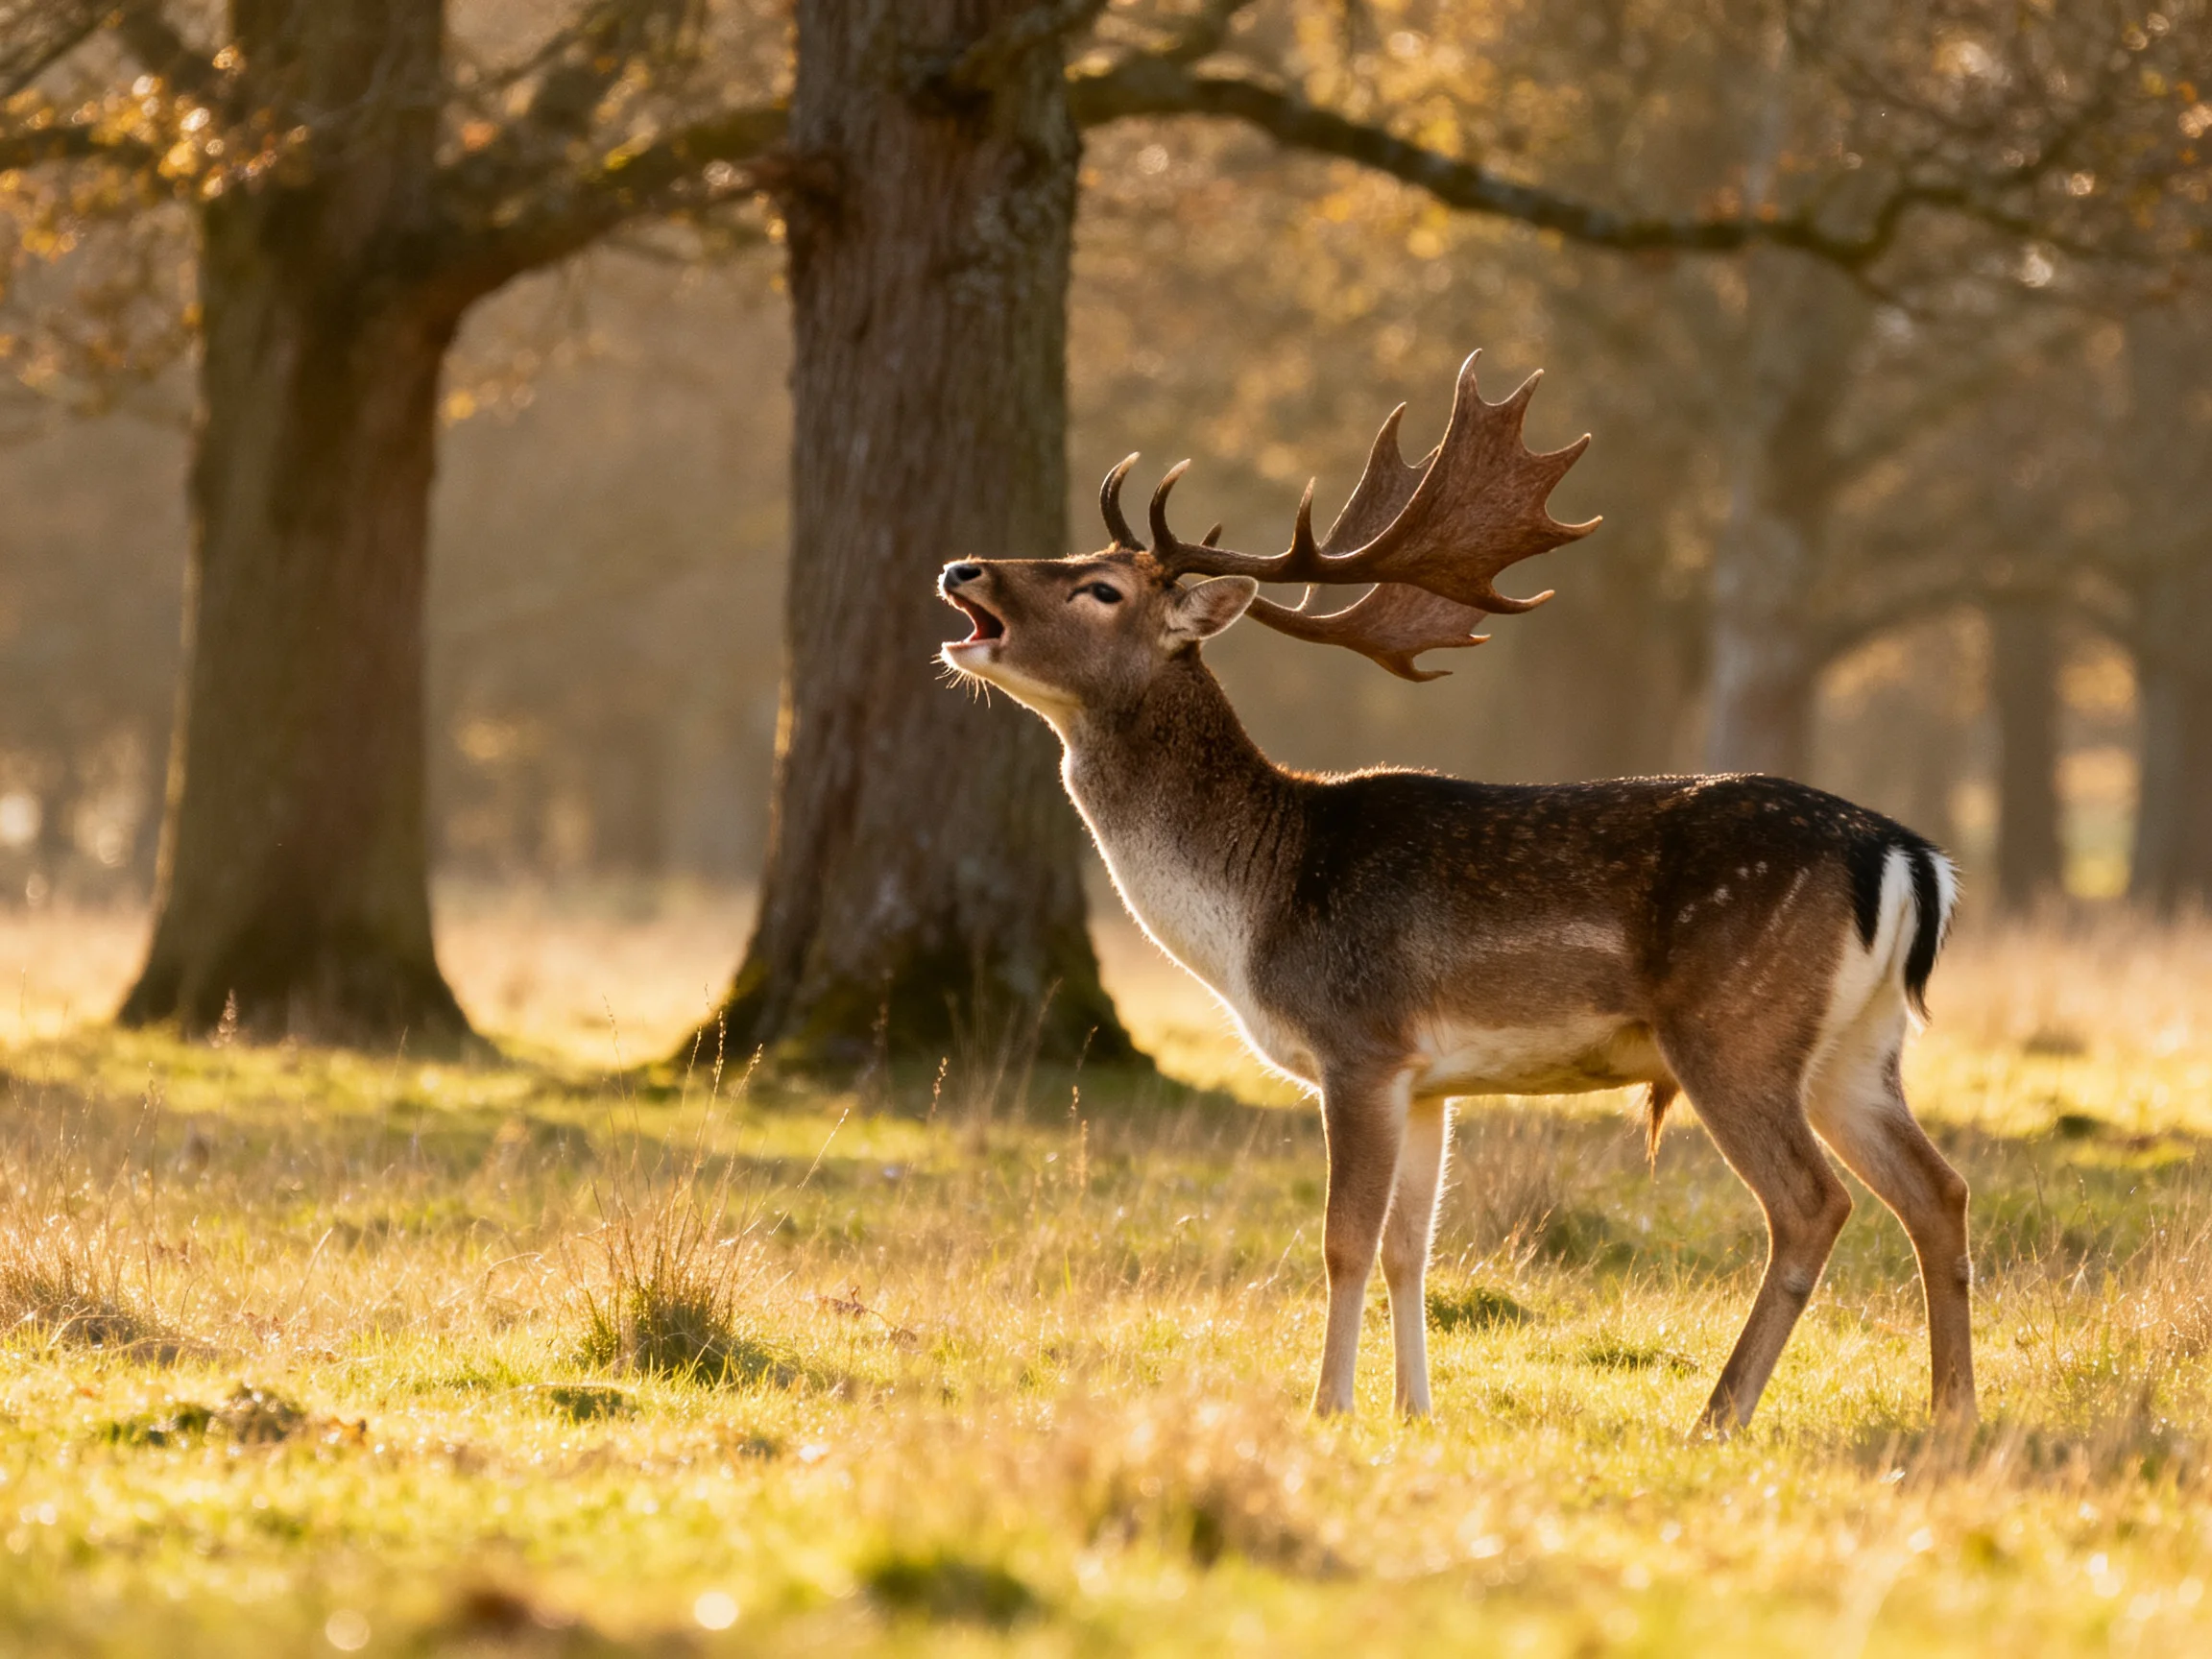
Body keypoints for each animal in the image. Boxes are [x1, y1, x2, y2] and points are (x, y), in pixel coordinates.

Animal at [935, 351, 1969, 1434]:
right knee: (1938, 1191)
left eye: (1099, 588)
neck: (1254, 909)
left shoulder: (1360, 1041)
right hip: (1858, 1045)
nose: (961, 569)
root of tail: (1910, 857)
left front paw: (1328, 1408)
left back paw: (1720, 1414)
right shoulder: (1430, 1080)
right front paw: (1414, 1410)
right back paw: (1953, 1417)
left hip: (1736, 1029)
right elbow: (1410, 1247)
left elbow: (1343, 1239)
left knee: (1814, 1203)